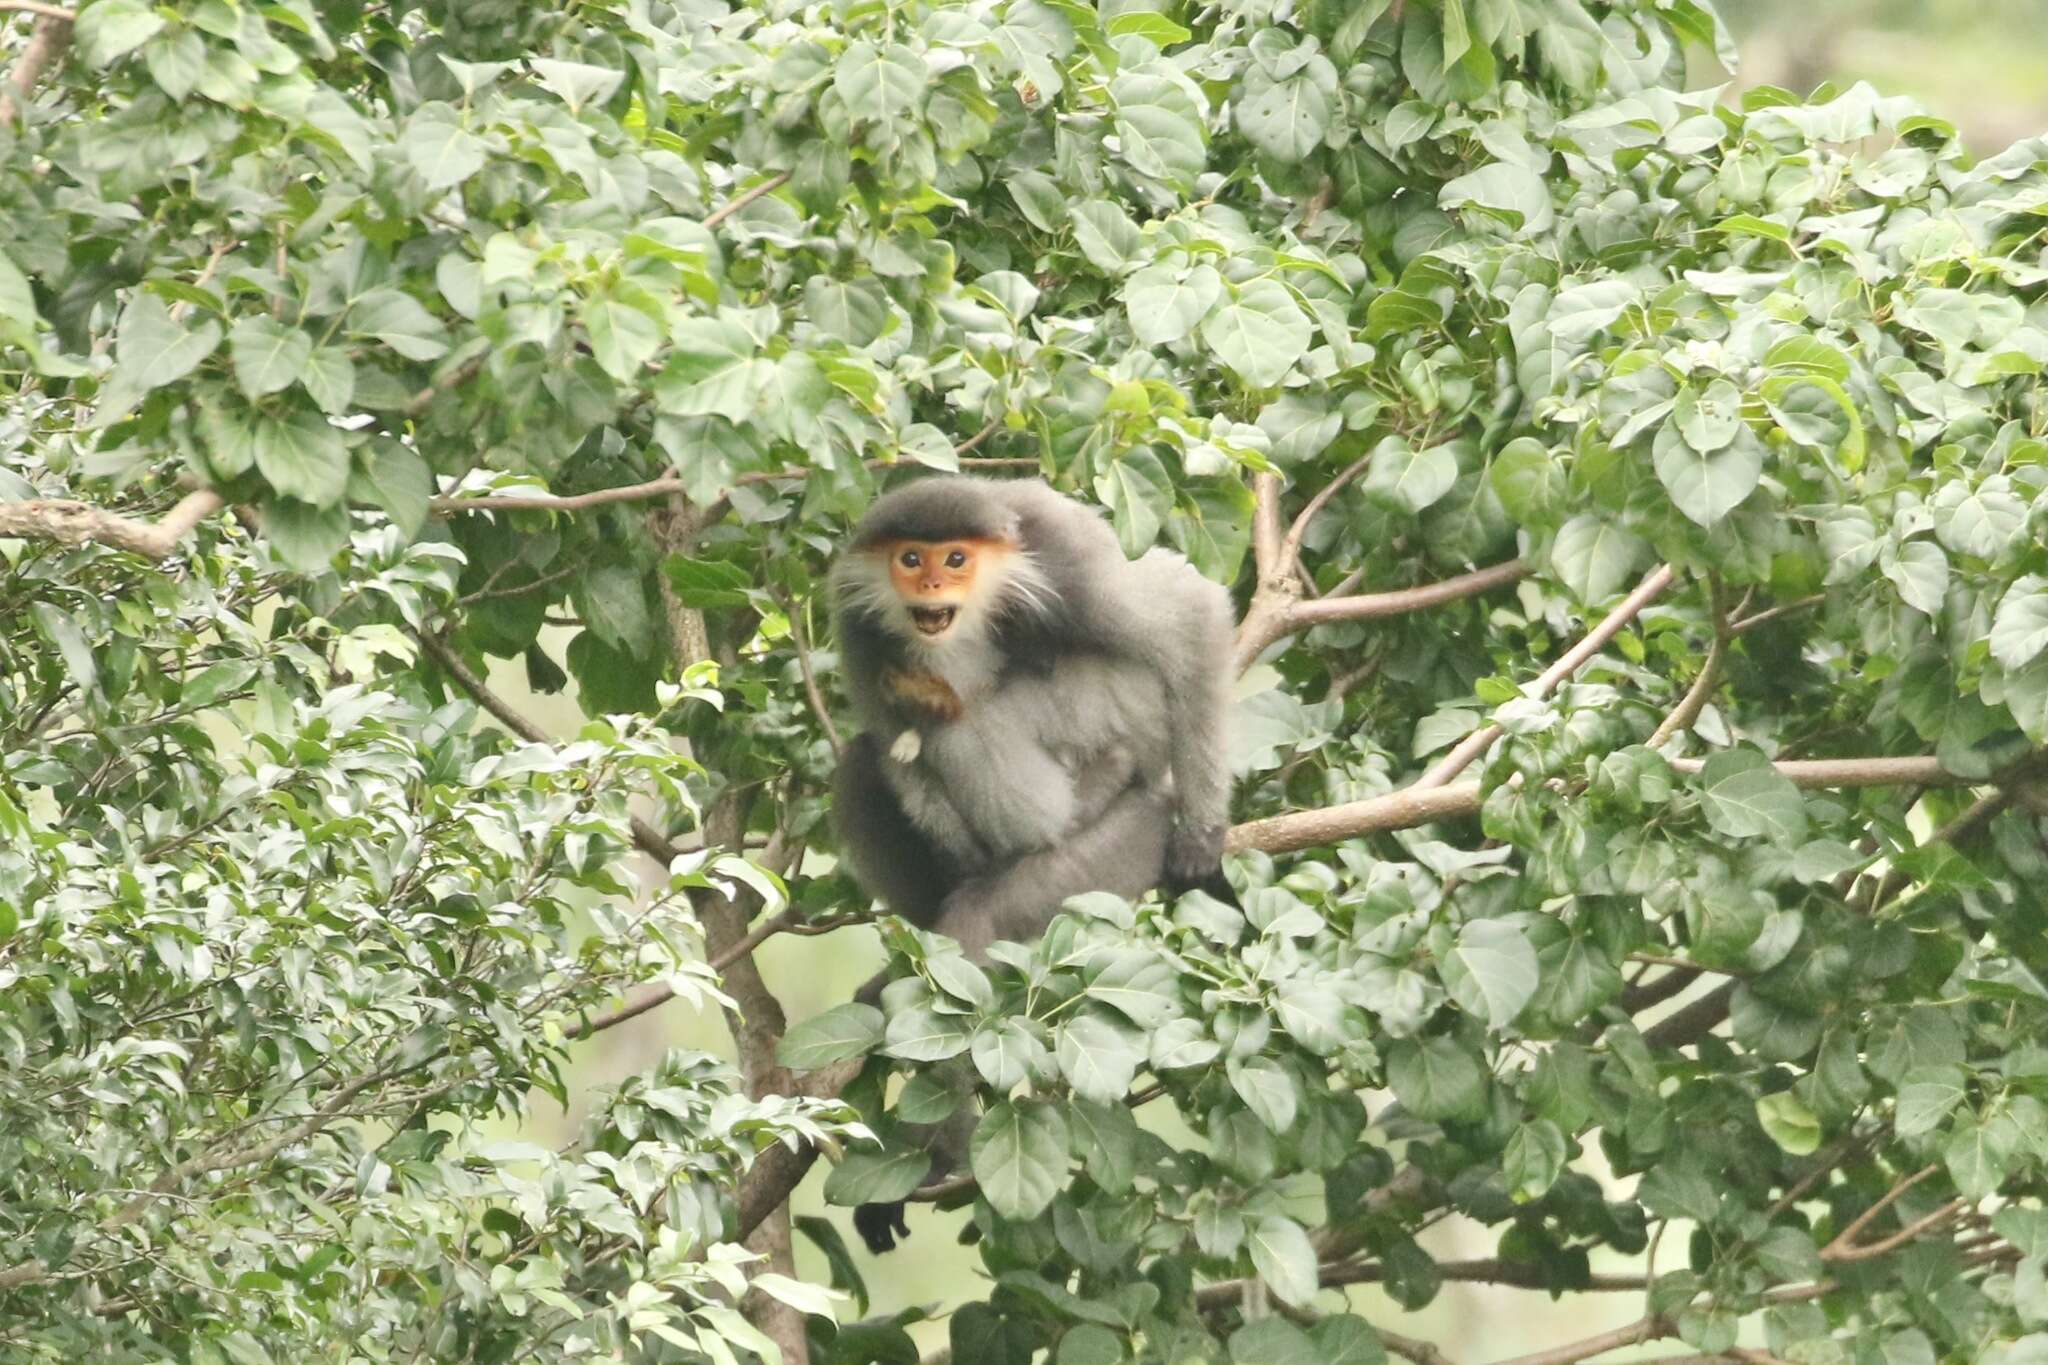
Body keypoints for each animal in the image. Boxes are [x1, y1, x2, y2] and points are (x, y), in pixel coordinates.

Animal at [827, 474, 1228, 1252]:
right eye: (910, 557)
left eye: (956, 558)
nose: (929, 584)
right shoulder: (858, 630)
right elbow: (891, 747)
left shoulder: (1068, 562)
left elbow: (1190, 611)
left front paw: (1203, 837)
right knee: (868, 762)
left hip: (1115, 844)